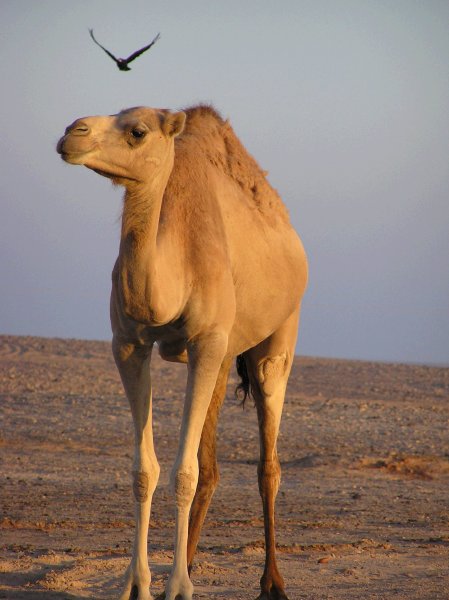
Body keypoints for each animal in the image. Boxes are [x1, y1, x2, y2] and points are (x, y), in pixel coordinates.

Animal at [57, 104, 308, 600]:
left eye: (137, 131)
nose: (71, 133)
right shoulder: (128, 343)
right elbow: (145, 470)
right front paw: (136, 583)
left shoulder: (207, 341)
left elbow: (184, 473)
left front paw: (177, 587)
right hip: (226, 354)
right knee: (210, 465)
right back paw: (191, 561)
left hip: (278, 334)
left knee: (267, 461)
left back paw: (271, 581)